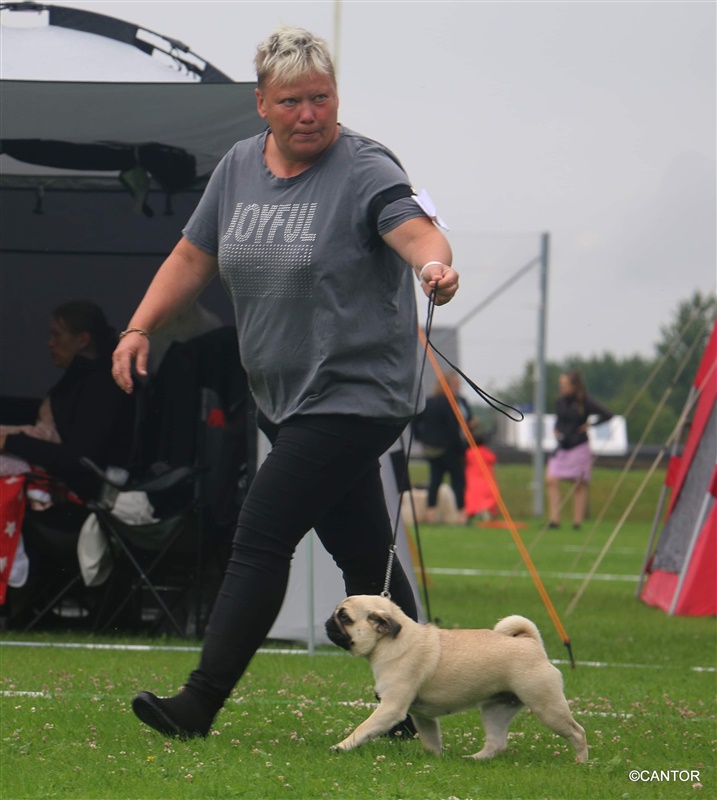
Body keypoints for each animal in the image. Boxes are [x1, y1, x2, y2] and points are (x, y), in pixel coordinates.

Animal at [325, 595, 588, 763]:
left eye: (345, 618)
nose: (328, 621)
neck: (392, 642)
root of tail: (531, 643)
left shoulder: (390, 708)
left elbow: (363, 728)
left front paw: (341, 747)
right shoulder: (422, 716)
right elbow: (431, 740)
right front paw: (435, 760)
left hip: (546, 705)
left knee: (577, 732)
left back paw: (581, 763)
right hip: (496, 709)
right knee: (496, 743)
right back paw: (474, 759)